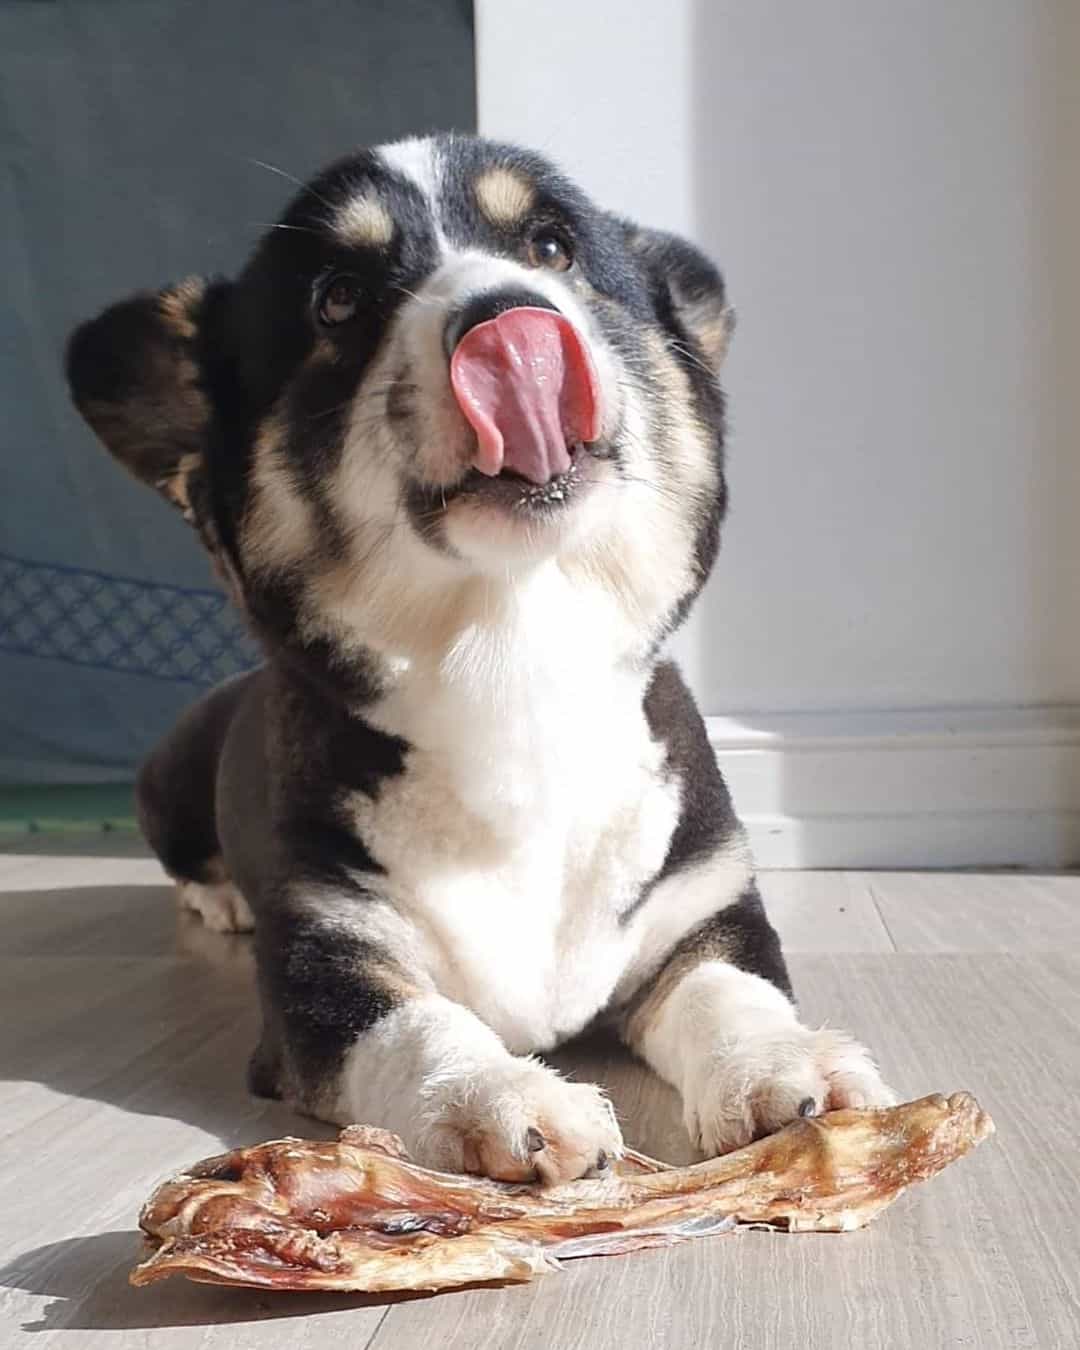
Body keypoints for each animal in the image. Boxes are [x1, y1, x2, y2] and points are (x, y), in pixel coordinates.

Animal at [69, 134, 896, 1182]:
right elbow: (420, 1026)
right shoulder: (325, 967)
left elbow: (731, 992)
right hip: (168, 776)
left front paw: (785, 1063)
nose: (509, 322)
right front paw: (502, 1093)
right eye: (338, 299)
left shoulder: (702, 913)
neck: (514, 670)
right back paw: (218, 899)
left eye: (552, 249)